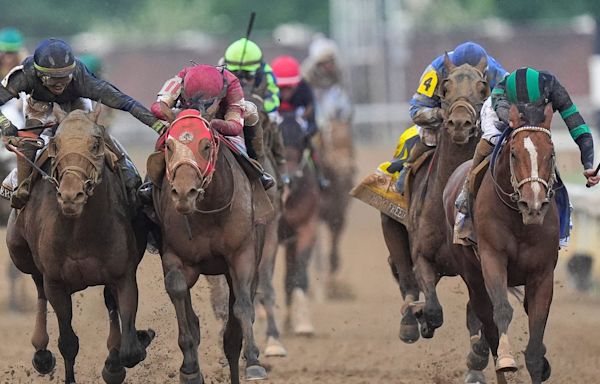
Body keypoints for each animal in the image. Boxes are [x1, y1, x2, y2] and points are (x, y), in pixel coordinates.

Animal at [5, 105, 152, 384]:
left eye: (95, 143)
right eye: (56, 143)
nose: (71, 195)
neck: (80, 233)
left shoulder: (123, 275)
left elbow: (130, 350)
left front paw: (130, 349)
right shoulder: (56, 282)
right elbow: (68, 342)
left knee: (109, 302)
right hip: (20, 252)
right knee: (38, 287)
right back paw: (41, 353)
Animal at [150, 109, 270, 384]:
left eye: (206, 145)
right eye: (169, 146)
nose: (184, 193)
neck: (209, 209)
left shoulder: (242, 254)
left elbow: (242, 307)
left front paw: (254, 362)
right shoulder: (176, 256)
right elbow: (178, 290)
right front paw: (190, 368)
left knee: (233, 333)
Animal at [446, 103, 556, 384]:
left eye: (550, 154)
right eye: (514, 154)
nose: (533, 205)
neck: (520, 221)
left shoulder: (542, 272)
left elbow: (537, 329)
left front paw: (540, 363)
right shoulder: (492, 257)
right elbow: (502, 310)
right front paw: (507, 360)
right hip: (472, 275)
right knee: (487, 321)